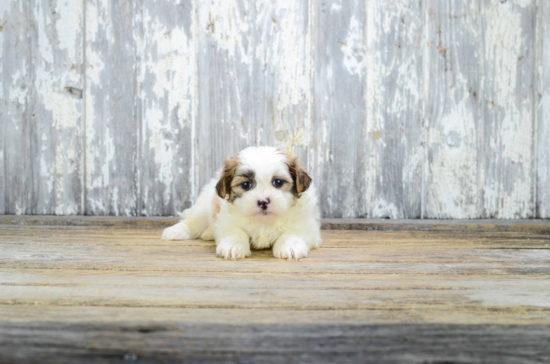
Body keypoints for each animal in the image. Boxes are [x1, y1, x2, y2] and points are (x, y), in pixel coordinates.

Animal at [161, 146, 324, 260]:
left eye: (278, 182)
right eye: (246, 185)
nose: (263, 202)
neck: (264, 221)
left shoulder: (306, 224)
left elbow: (293, 232)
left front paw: (290, 246)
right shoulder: (227, 220)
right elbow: (235, 231)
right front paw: (233, 246)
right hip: (204, 205)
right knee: (193, 222)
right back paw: (176, 231)